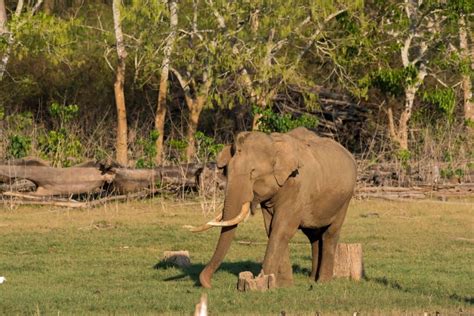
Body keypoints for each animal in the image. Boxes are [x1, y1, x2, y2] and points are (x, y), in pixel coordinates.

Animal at [186, 127, 356, 288]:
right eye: (227, 171)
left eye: (253, 172)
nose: (208, 284)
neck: (274, 143)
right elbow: (271, 227)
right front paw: (282, 285)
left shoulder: (298, 187)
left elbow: (282, 228)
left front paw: (262, 282)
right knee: (313, 235)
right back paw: (312, 280)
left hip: (344, 200)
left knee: (330, 233)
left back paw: (322, 282)